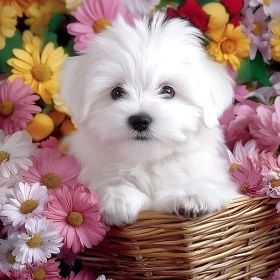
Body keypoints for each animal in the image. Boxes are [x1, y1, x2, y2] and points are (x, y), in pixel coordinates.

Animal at [60, 13, 238, 228]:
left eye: (168, 91)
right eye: (117, 92)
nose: (140, 120)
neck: (146, 162)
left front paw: (190, 195)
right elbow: (108, 181)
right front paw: (119, 199)